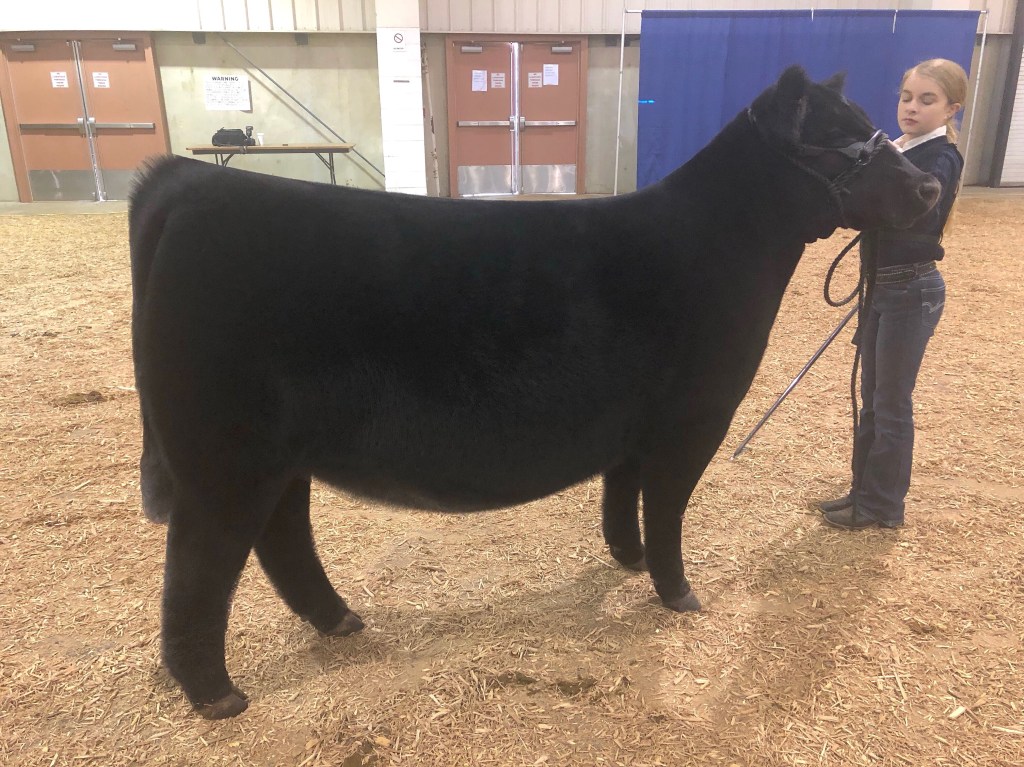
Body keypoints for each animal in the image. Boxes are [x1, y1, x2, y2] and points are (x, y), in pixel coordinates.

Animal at [129, 66, 939, 718]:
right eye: (843, 135)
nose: (930, 185)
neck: (721, 241)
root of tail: (193, 183)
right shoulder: (696, 416)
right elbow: (668, 506)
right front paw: (678, 591)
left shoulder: (634, 424)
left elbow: (623, 492)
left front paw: (629, 560)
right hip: (224, 458)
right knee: (197, 568)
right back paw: (216, 694)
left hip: (278, 455)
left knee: (282, 535)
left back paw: (338, 620)